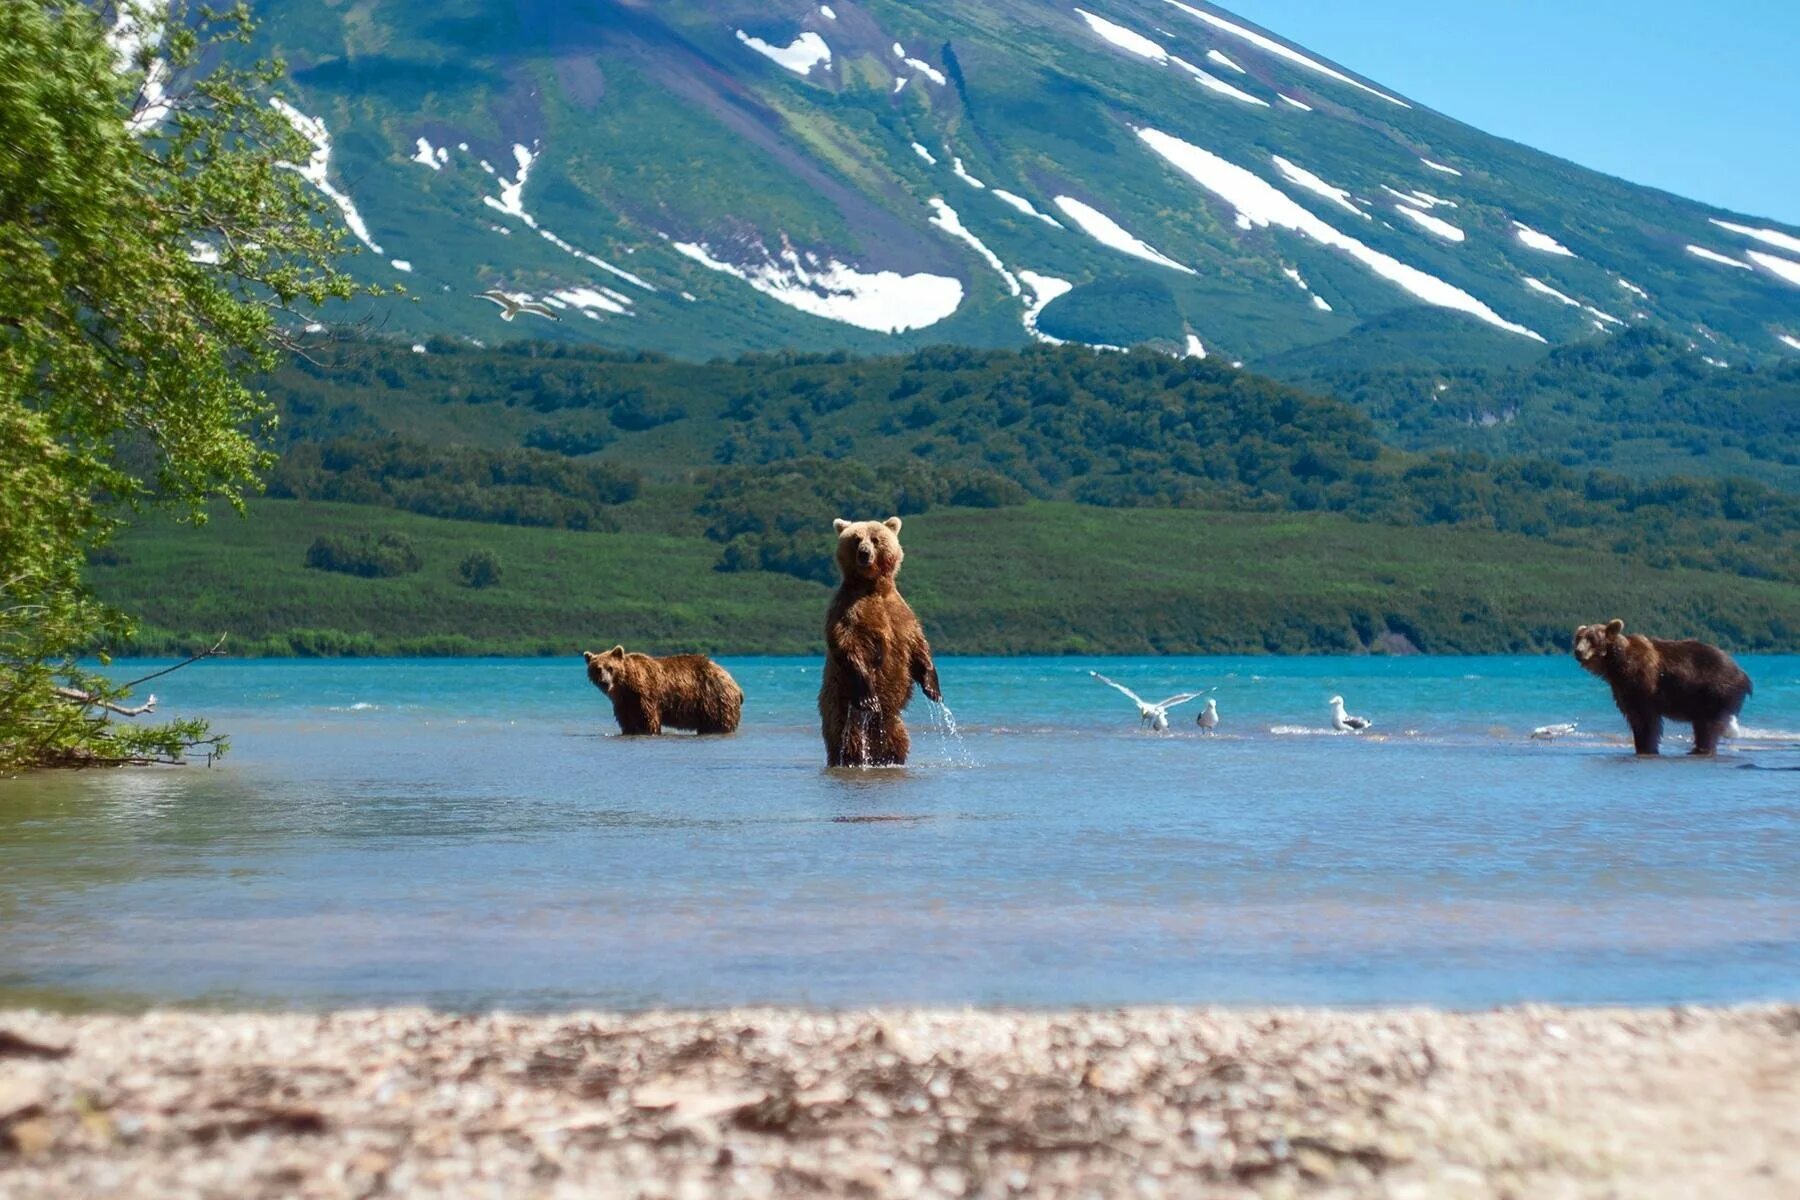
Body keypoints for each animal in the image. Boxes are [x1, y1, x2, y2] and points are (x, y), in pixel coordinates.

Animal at [583, 644, 738, 737]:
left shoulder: (646, 695)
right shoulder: (624, 703)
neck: (625, 686)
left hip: (714, 699)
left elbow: (648, 720)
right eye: (597, 669)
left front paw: (649, 731)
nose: (604, 682)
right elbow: (627, 722)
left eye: (610, 668)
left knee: (720, 724)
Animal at [824, 518, 950, 770]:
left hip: (893, 721)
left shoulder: (900, 615)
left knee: (897, 741)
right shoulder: (847, 611)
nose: (864, 553)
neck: (872, 586)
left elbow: (919, 648)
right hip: (841, 703)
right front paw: (869, 697)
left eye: (875, 539)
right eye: (856, 539)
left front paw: (933, 689)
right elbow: (847, 645)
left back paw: (889, 759)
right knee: (848, 738)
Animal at [1576, 626, 1756, 755]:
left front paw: (1647, 746)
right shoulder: (1622, 688)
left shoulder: (1643, 683)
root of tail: (1743, 675)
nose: (1578, 651)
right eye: (1578, 637)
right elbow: (1634, 716)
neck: (1617, 664)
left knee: (1708, 725)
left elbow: (1647, 719)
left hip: (1715, 691)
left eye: (1591, 638)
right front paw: (1642, 745)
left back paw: (1701, 748)